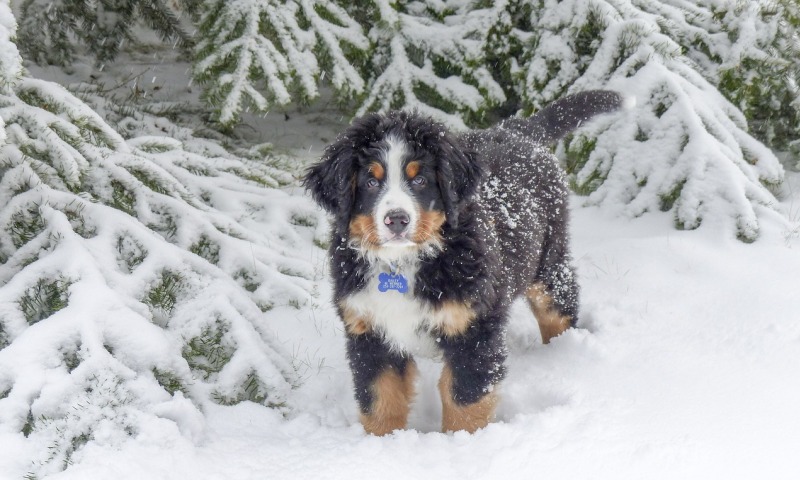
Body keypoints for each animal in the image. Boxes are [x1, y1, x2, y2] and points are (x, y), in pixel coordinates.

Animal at [304, 89, 624, 436]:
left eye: (420, 181)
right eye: (371, 182)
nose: (397, 220)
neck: (403, 263)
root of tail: (517, 129)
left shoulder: (473, 329)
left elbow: (464, 400)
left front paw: (462, 444)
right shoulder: (369, 330)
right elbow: (380, 400)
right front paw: (381, 443)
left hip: (548, 262)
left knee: (559, 309)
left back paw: (563, 354)